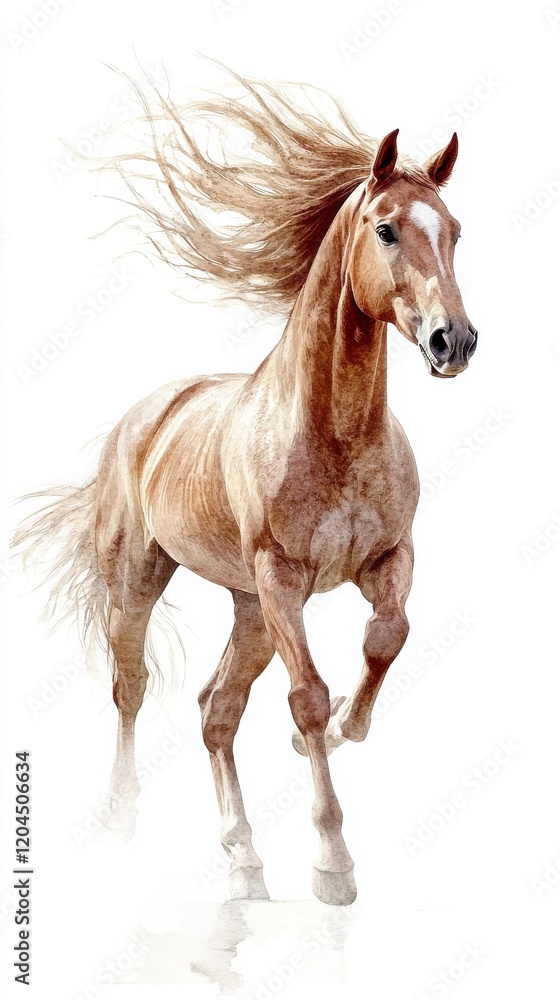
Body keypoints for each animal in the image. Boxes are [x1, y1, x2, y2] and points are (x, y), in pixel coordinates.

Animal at [14, 70, 477, 907]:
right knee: (130, 686)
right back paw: (122, 820)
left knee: (216, 710)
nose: (452, 341)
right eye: (387, 230)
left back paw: (245, 864)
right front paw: (332, 863)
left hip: (250, 611)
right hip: (144, 582)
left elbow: (386, 639)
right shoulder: (283, 577)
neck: (335, 434)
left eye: (454, 230)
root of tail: (143, 417)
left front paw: (336, 733)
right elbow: (309, 693)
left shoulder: (387, 560)